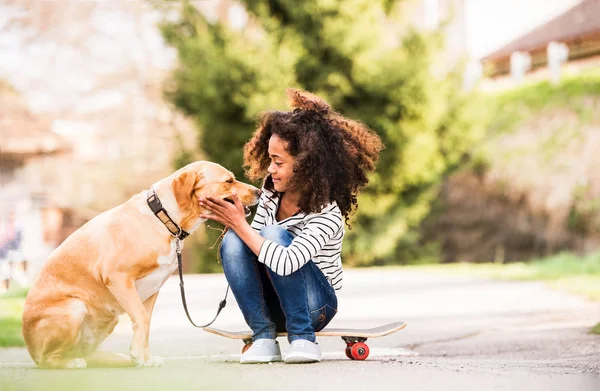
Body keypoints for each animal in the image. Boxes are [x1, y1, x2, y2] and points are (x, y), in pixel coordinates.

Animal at [21, 161, 260, 370]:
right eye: (228, 181)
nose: (258, 191)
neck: (163, 219)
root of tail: (30, 349)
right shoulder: (118, 278)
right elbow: (142, 319)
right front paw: (138, 354)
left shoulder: (152, 290)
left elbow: (146, 321)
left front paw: (145, 358)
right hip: (75, 307)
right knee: (47, 359)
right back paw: (69, 363)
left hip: (108, 320)